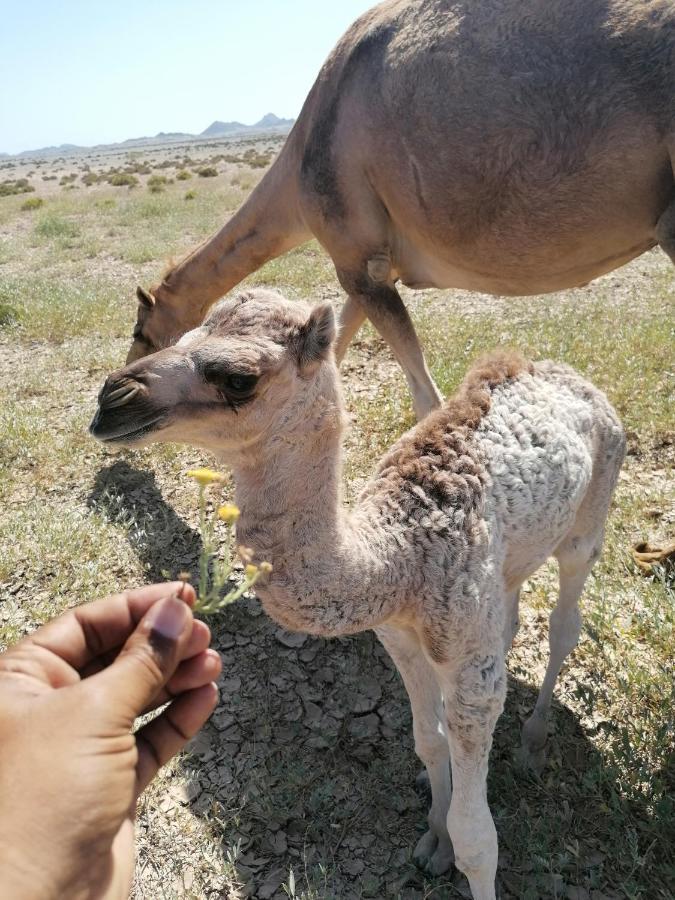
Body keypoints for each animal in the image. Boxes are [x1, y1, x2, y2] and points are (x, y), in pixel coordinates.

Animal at [127, 0, 675, 420]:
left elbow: (424, 395)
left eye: (140, 330)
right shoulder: (370, 262)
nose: (126, 376)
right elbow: (334, 345)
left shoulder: (355, 257)